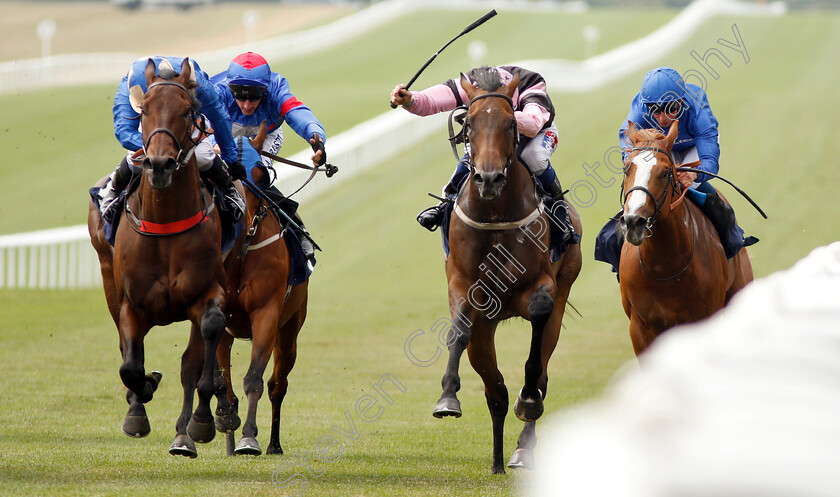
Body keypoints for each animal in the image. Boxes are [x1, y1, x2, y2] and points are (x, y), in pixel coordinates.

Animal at [88, 58, 226, 458]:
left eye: (188, 110)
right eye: (144, 109)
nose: (160, 164)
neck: (165, 222)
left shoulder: (207, 293)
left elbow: (204, 344)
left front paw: (197, 424)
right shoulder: (132, 304)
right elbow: (130, 365)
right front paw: (141, 397)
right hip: (108, 280)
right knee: (125, 348)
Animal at [212, 126, 310, 456]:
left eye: (260, 173)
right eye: (223, 170)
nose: (241, 213)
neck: (241, 252)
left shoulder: (267, 314)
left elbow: (254, 378)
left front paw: (249, 438)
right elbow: (220, 382)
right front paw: (226, 418)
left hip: (290, 329)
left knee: (278, 386)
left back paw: (273, 444)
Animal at [434, 73, 584, 472]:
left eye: (509, 124)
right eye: (469, 124)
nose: (488, 178)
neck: (495, 215)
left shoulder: (543, 283)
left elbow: (538, 327)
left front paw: (528, 399)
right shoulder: (462, 284)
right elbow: (459, 329)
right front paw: (447, 397)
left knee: (538, 371)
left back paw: (520, 448)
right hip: (486, 330)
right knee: (495, 389)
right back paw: (497, 461)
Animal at [620, 119, 752, 352]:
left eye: (665, 172)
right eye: (627, 169)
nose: (634, 222)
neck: (666, 266)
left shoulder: (706, 318)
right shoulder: (640, 327)